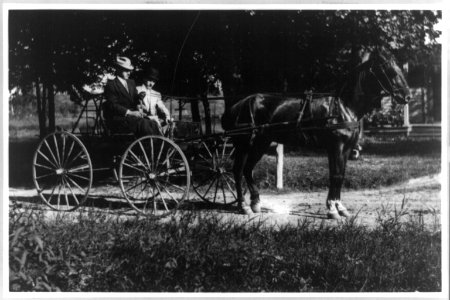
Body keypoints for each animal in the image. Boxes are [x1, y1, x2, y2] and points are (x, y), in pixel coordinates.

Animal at [221, 48, 412, 219]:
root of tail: (237, 105)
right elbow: (335, 175)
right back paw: (243, 206)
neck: (343, 107)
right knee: (237, 170)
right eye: (389, 71)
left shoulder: (345, 149)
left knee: (248, 169)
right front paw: (333, 210)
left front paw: (339, 208)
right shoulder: (336, 147)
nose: (407, 96)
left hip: (261, 143)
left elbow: (339, 175)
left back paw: (255, 203)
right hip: (244, 145)